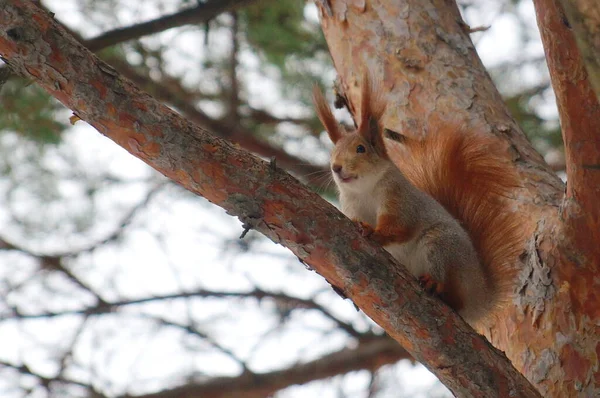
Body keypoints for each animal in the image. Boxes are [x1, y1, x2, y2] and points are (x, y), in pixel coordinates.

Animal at [312, 75, 524, 326]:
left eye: (361, 149)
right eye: (332, 153)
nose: (336, 167)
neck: (364, 190)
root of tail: (480, 296)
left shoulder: (401, 199)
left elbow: (400, 226)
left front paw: (374, 232)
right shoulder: (351, 205)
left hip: (442, 246)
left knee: (454, 296)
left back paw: (436, 285)